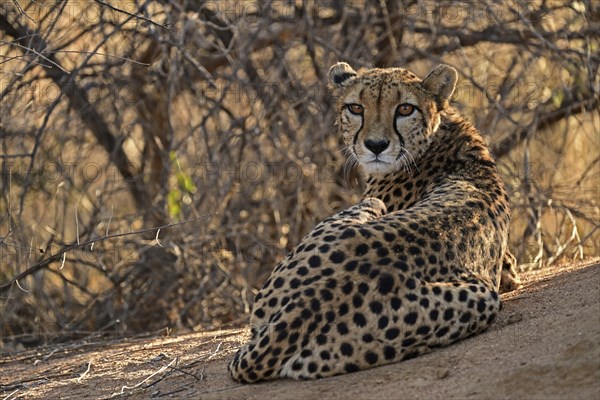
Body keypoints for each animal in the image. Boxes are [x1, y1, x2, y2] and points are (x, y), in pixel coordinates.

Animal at [230, 61, 520, 382]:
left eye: (405, 109)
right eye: (356, 108)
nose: (376, 145)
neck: (438, 134)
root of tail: (312, 302)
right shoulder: (508, 269)